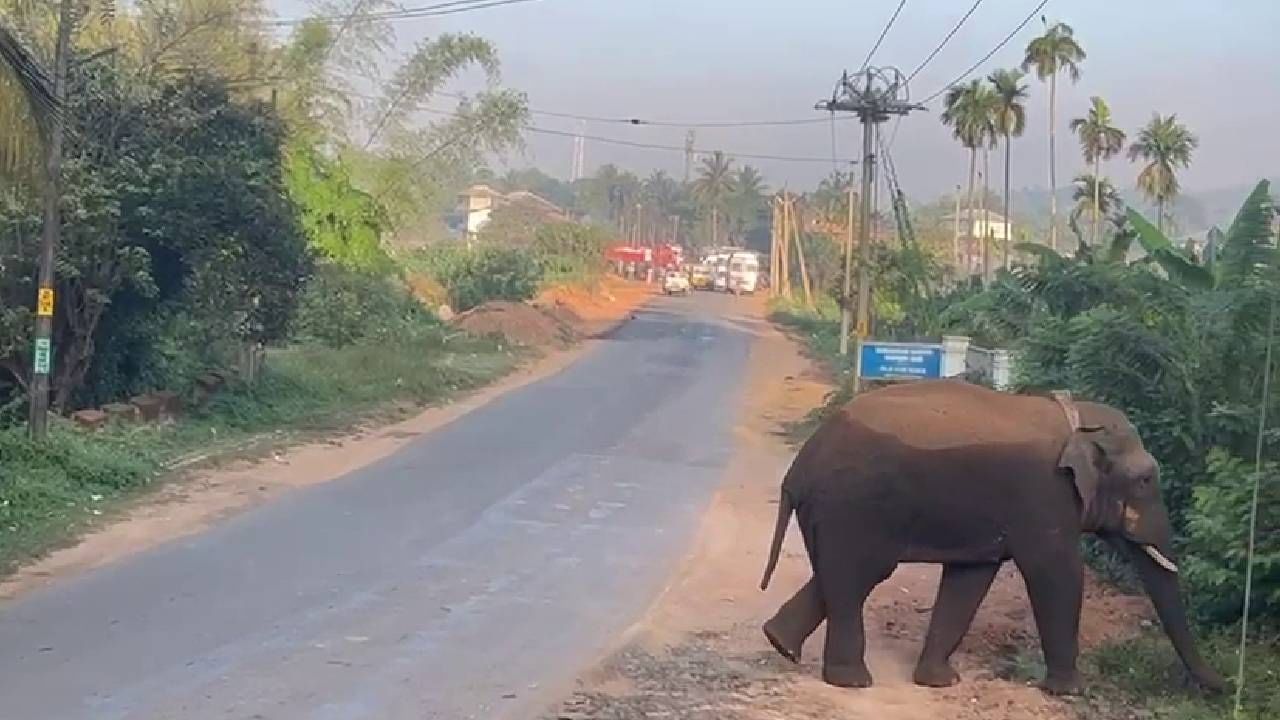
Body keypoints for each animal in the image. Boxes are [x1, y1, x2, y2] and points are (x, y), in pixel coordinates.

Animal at [752, 379, 1223, 691]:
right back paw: (851, 681)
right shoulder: (1043, 495)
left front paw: (939, 682)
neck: (1076, 418)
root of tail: (799, 467)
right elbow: (1057, 574)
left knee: (838, 575)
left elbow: (971, 577)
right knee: (858, 575)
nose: (1219, 690)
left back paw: (782, 645)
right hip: (854, 507)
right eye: (1145, 480)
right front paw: (1068, 691)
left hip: (833, 512)